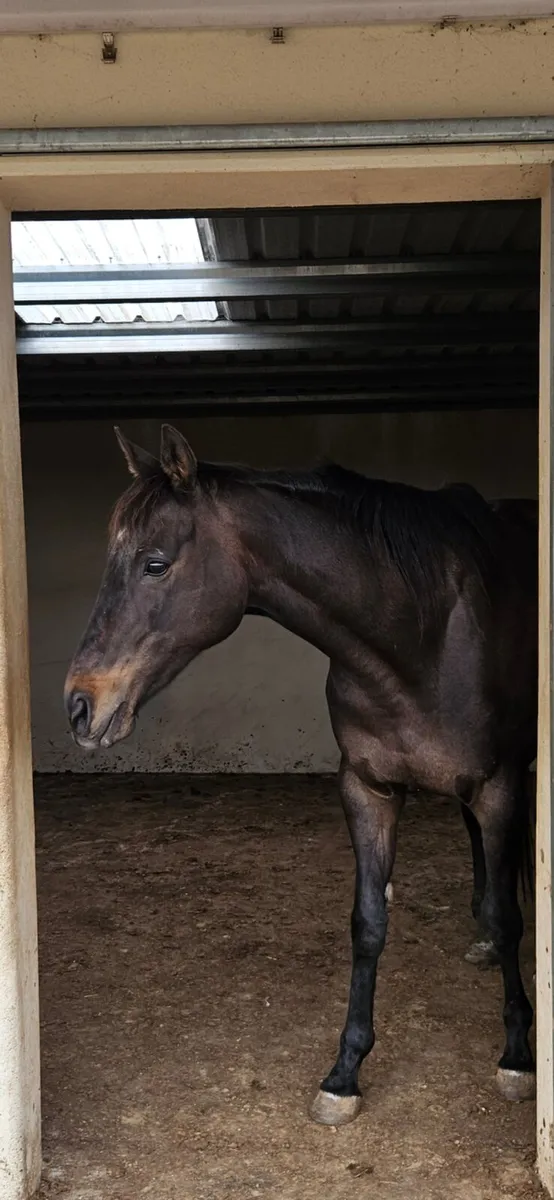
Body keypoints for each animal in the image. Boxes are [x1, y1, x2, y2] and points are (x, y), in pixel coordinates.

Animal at [65, 424, 538, 1125]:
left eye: (155, 564)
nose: (80, 706)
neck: (419, 635)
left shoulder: (499, 786)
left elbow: (511, 917)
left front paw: (517, 1056)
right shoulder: (368, 790)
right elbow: (368, 925)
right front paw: (344, 1074)